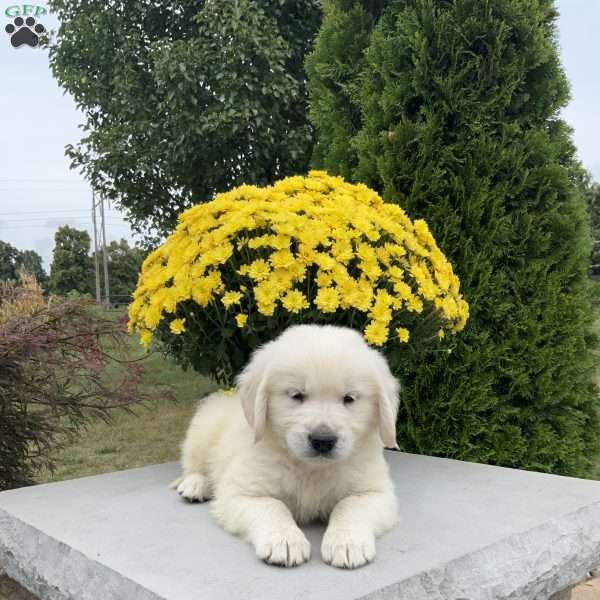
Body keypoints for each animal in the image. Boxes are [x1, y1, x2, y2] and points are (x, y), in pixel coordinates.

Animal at [171, 324, 400, 568]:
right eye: (296, 395)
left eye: (349, 398)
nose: (323, 440)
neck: (312, 469)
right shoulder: (241, 491)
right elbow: (272, 506)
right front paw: (285, 541)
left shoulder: (376, 492)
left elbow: (350, 505)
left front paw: (347, 543)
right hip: (202, 431)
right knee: (193, 466)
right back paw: (195, 485)